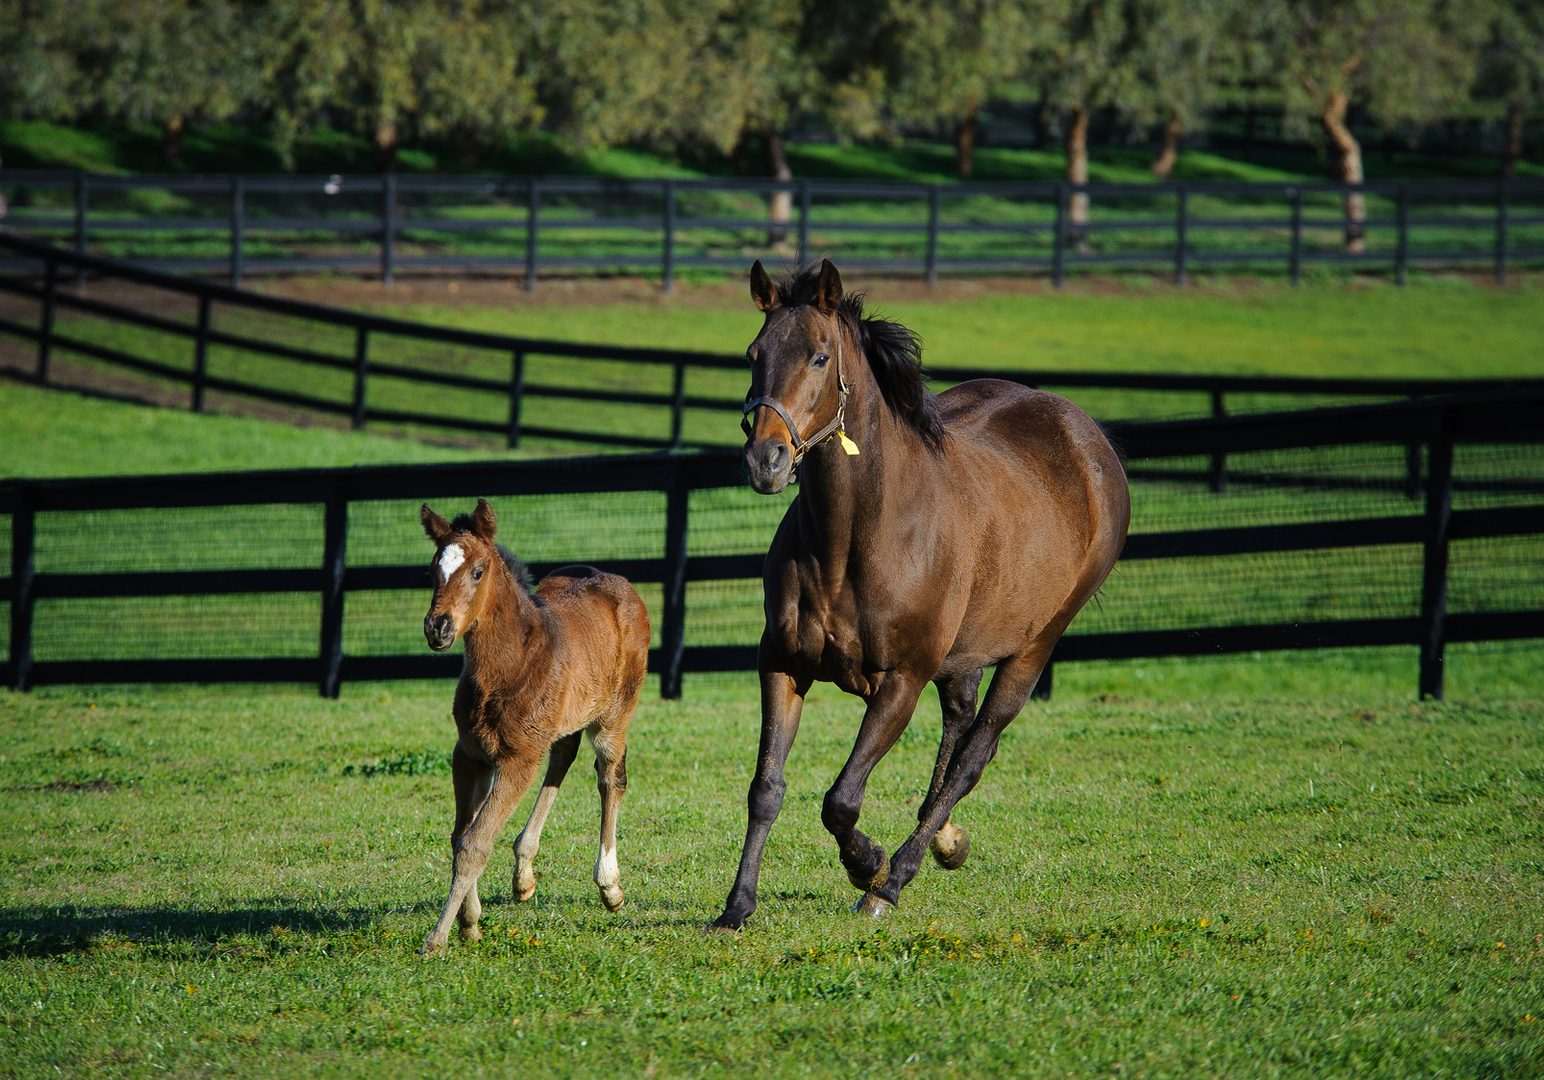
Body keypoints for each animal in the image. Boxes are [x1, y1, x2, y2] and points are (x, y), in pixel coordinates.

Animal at [416, 497, 645, 951]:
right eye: (434, 569)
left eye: (477, 571)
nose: (438, 627)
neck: (511, 665)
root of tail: (620, 583)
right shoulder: (469, 753)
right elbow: (460, 836)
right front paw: (470, 921)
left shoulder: (518, 758)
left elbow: (475, 843)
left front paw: (439, 936)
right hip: (561, 722)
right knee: (562, 759)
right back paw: (524, 870)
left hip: (614, 716)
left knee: (610, 778)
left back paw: (609, 885)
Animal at [713, 259, 1136, 927]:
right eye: (754, 354)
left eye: (819, 357)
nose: (766, 460)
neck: (856, 539)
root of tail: (1088, 438)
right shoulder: (782, 663)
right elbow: (766, 789)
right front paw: (737, 907)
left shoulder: (901, 681)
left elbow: (841, 799)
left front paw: (867, 864)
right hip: (963, 655)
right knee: (958, 727)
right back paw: (942, 842)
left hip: (1034, 647)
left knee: (973, 755)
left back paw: (893, 880)